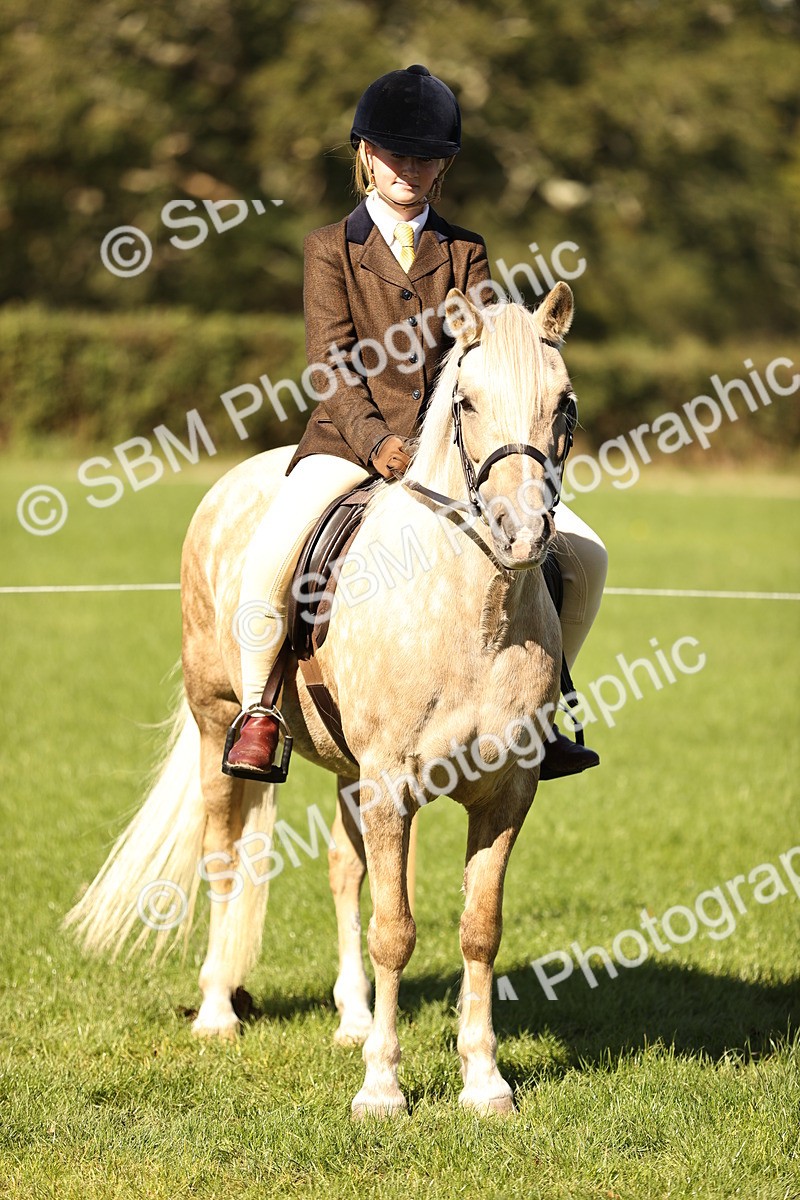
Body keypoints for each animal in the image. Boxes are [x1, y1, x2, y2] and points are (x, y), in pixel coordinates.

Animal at [65, 283, 577, 1117]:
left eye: (563, 404)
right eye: (466, 401)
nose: (522, 533)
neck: (474, 613)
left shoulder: (506, 793)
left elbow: (478, 929)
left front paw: (484, 1082)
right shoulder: (392, 784)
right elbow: (396, 931)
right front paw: (382, 1089)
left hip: (347, 769)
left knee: (344, 868)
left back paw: (352, 1016)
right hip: (217, 727)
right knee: (223, 859)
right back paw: (217, 1011)